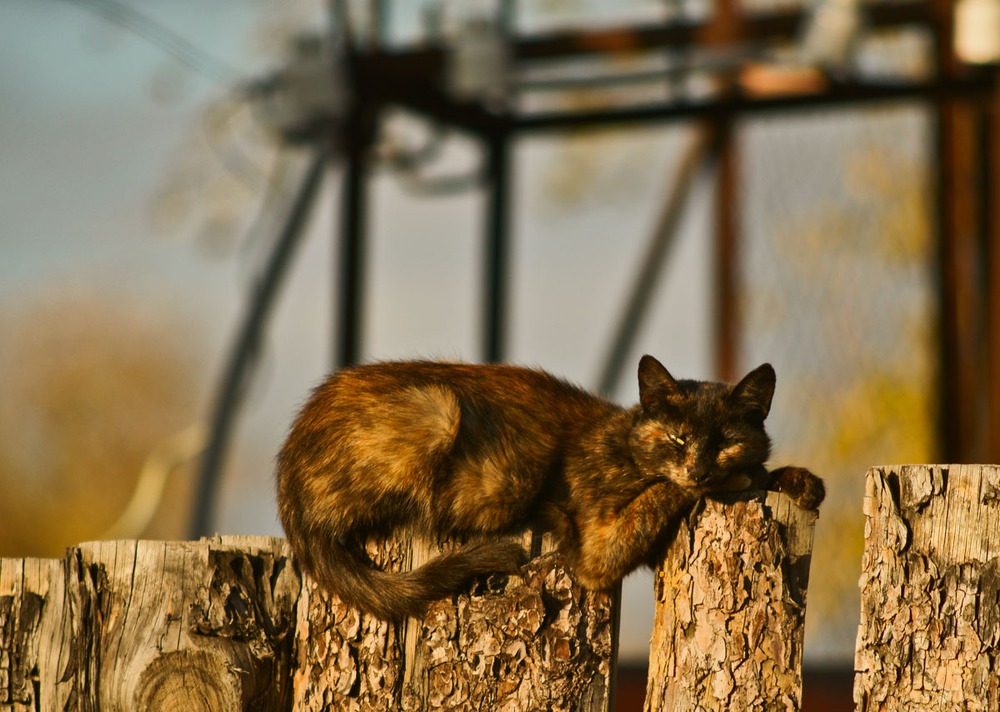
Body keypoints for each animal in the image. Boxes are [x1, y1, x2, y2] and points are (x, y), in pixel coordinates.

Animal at [278, 354, 824, 616]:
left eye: (726, 440)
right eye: (677, 438)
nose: (702, 470)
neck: (625, 441)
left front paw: (799, 481)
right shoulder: (598, 550)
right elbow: (660, 492)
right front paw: (743, 477)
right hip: (437, 409)